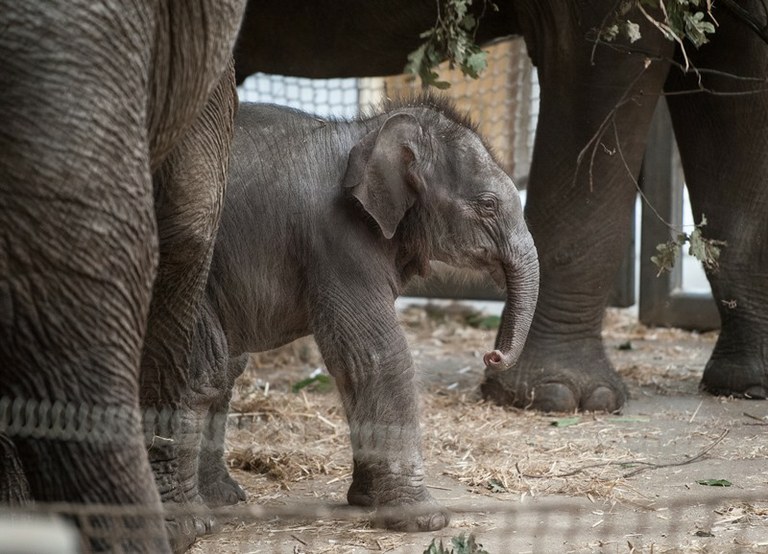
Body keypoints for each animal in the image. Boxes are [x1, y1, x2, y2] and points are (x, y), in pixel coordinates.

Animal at [192, 96, 540, 532]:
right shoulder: (338, 239)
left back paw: (221, 499)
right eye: (488, 205)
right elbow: (377, 354)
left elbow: (353, 364)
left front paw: (366, 502)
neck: (368, 132)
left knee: (223, 366)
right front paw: (425, 521)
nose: (491, 355)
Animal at [236, 0, 768, 410]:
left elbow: (738, 83)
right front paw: (557, 399)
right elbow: (599, 64)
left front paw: (749, 387)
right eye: (489, 207)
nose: (489, 355)